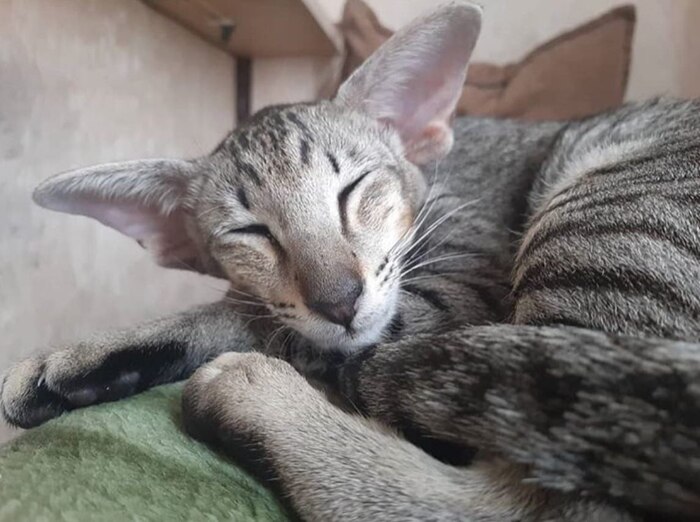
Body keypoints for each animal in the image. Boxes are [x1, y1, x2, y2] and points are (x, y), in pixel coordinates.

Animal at [3, 1, 700, 520]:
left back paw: (255, 399)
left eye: (353, 190)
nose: (339, 300)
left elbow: (251, 318)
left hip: (601, 214)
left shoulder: (452, 294)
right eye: (251, 232)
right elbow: (254, 309)